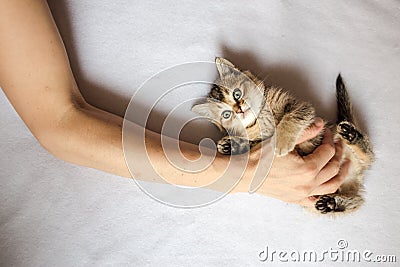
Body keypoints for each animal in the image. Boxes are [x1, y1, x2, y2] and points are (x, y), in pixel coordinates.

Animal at [192, 57, 374, 215]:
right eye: (226, 114)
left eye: (236, 94)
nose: (239, 110)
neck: (261, 117)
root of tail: (356, 172)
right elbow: (253, 142)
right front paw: (231, 145)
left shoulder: (302, 107)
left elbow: (292, 117)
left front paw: (282, 140)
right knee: (356, 201)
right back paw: (332, 204)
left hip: (343, 141)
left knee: (368, 155)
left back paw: (351, 135)